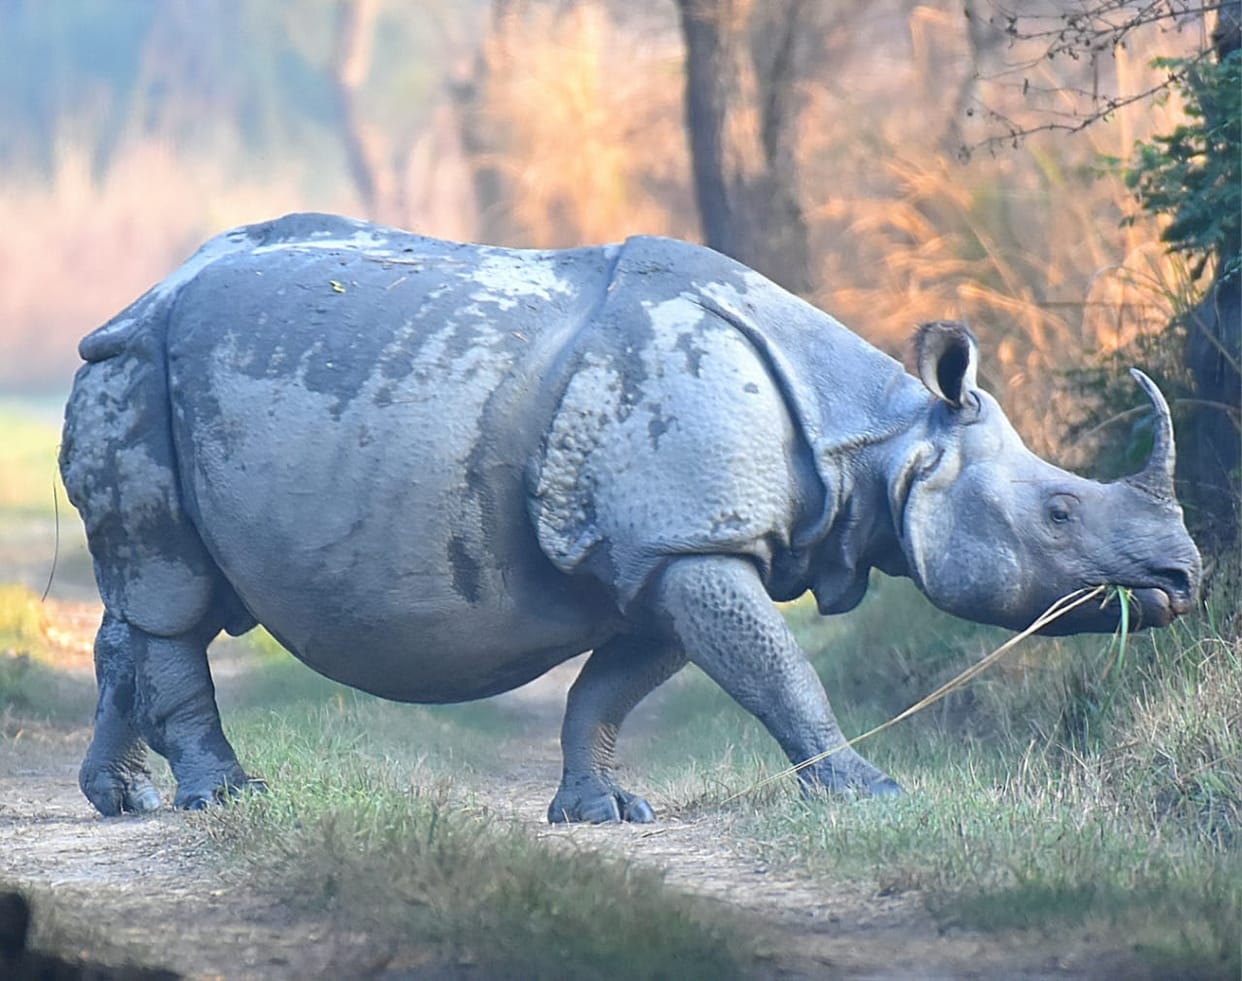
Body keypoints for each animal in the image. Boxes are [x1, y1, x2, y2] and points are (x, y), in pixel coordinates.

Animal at [60, 213, 1201, 822]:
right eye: (1060, 511)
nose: (1184, 580)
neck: (878, 440)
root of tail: (138, 297)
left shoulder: (672, 551)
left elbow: (612, 687)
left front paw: (598, 814)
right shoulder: (686, 538)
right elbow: (780, 674)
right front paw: (870, 793)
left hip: (152, 375)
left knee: (151, 602)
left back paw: (125, 802)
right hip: (140, 368)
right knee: (172, 598)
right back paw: (228, 800)